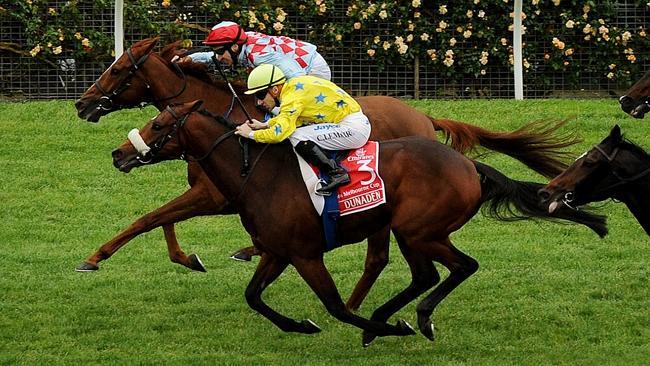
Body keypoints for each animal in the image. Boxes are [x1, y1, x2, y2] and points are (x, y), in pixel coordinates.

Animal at [73, 37, 580, 310]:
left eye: (118, 69)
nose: (81, 104)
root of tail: (424, 117)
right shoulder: (214, 192)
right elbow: (162, 220)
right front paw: (190, 257)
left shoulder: (215, 195)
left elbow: (151, 218)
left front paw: (95, 257)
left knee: (379, 258)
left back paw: (354, 308)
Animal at [110, 99, 604, 344]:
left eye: (158, 125)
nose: (118, 153)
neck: (258, 174)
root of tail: (469, 165)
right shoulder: (277, 251)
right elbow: (253, 297)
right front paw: (301, 326)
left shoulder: (306, 254)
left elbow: (335, 307)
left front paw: (382, 327)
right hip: (413, 232)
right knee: (429, 274)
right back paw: (399, 318)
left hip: (418, 229)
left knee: (459, 267)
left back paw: (407, 320)